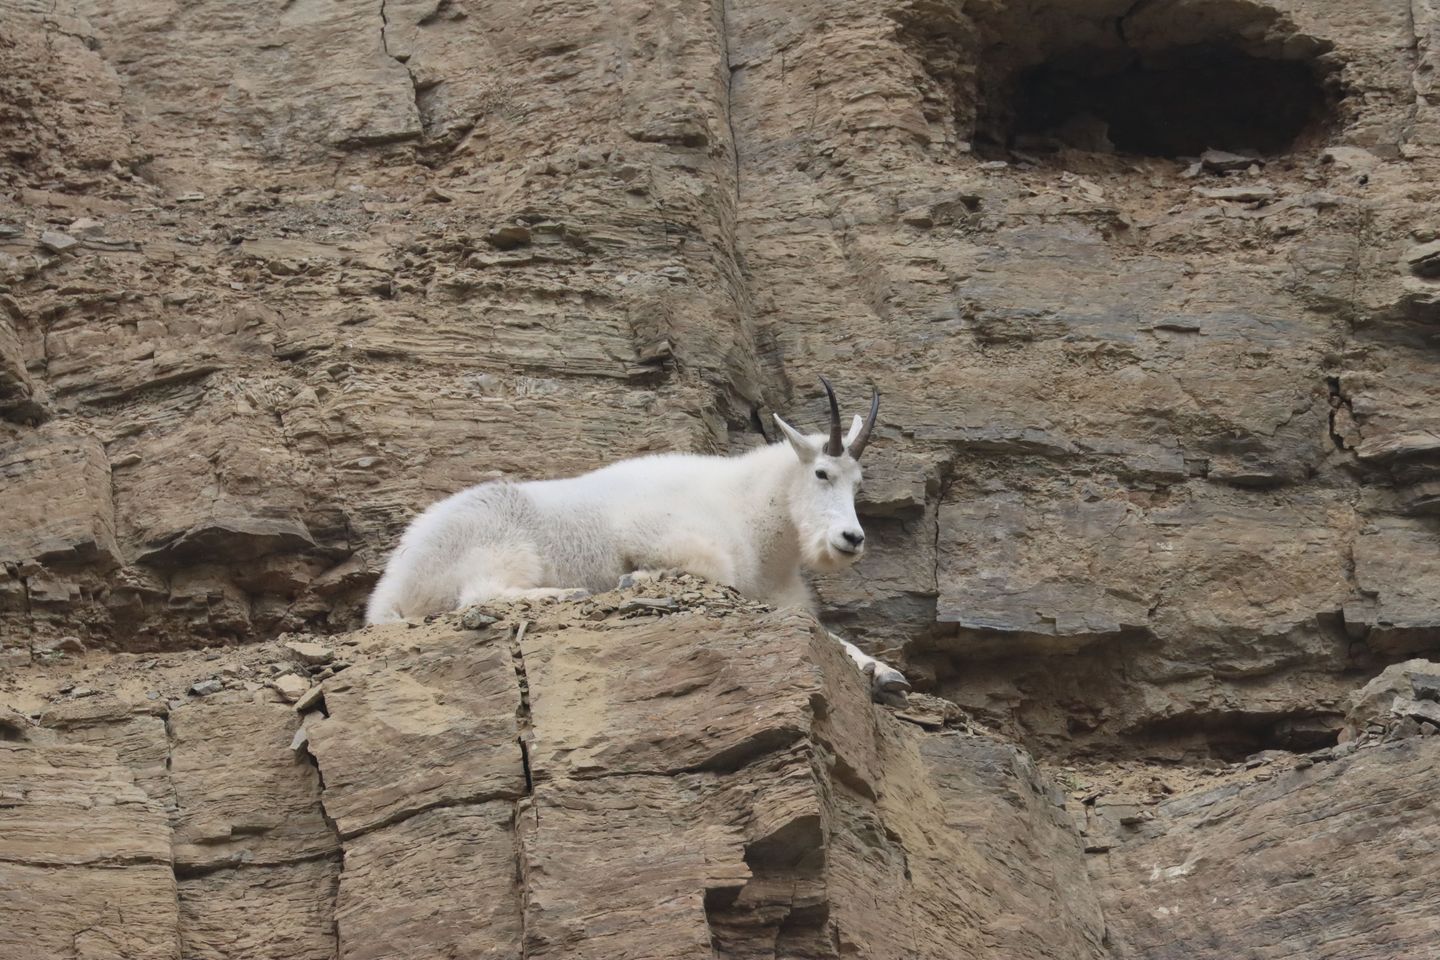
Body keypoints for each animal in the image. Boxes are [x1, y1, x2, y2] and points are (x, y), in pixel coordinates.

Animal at [365, 378, 910, 702]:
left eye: (857, 483)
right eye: (821, 473)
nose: (851, 538)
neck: (756, 516)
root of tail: (390, 587)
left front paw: (885, 672)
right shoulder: (671, 539)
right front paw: (636, 578)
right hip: (501, 548)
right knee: (480, 594)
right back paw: (566, 592)